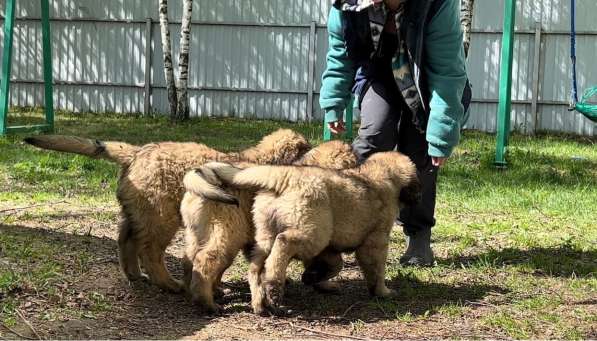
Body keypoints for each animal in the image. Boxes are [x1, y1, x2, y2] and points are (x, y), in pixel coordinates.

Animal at [23, 129, 310, 290]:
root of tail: (136, 152)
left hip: (138, 212)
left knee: (126, 240)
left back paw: (134, 275)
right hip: (161, 217)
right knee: (150, 252)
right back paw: (169, 284)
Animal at [179, 140, 356, 310]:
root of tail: (204, 177)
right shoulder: (310, 232)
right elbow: (330, 263)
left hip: (197, 233)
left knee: (189, 260)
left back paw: (195, 292)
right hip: (229, 234)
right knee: (206, 260)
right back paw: (207, 303)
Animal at [203, 151, 422, 314]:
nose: (420, 198)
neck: (379, 174)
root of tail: (285, 176)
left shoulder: (329, 249)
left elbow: (335, 265)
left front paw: (313, 278)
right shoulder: (375, 242)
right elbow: (376, 270)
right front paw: (382, 292)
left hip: (268, 233)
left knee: (257, 263)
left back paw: (260, 302)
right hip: (313, 233)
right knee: (283, 244)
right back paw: (274, 287)